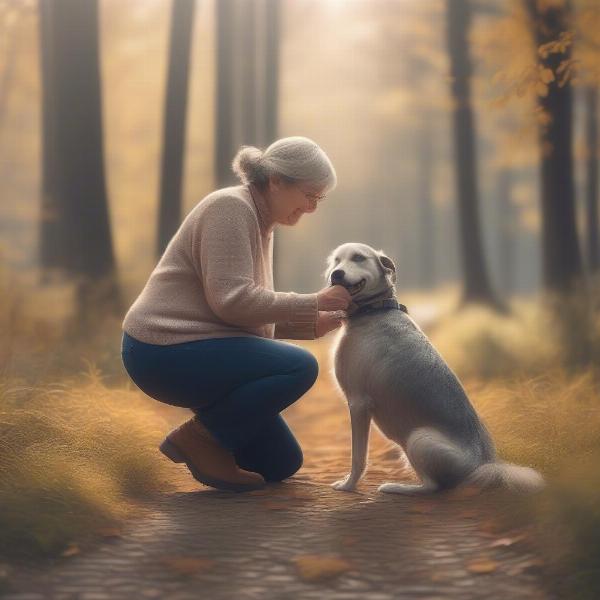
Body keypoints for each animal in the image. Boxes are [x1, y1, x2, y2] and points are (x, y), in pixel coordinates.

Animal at [326, 241, 548, 494]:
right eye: (335, 261)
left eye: (358, 258)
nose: (336, 274)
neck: (375, 309)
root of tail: (483, 465)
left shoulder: (358, 403)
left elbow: (358, 457)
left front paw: (348, 485)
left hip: (418, 439)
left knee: (433, 487)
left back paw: (397, 487)